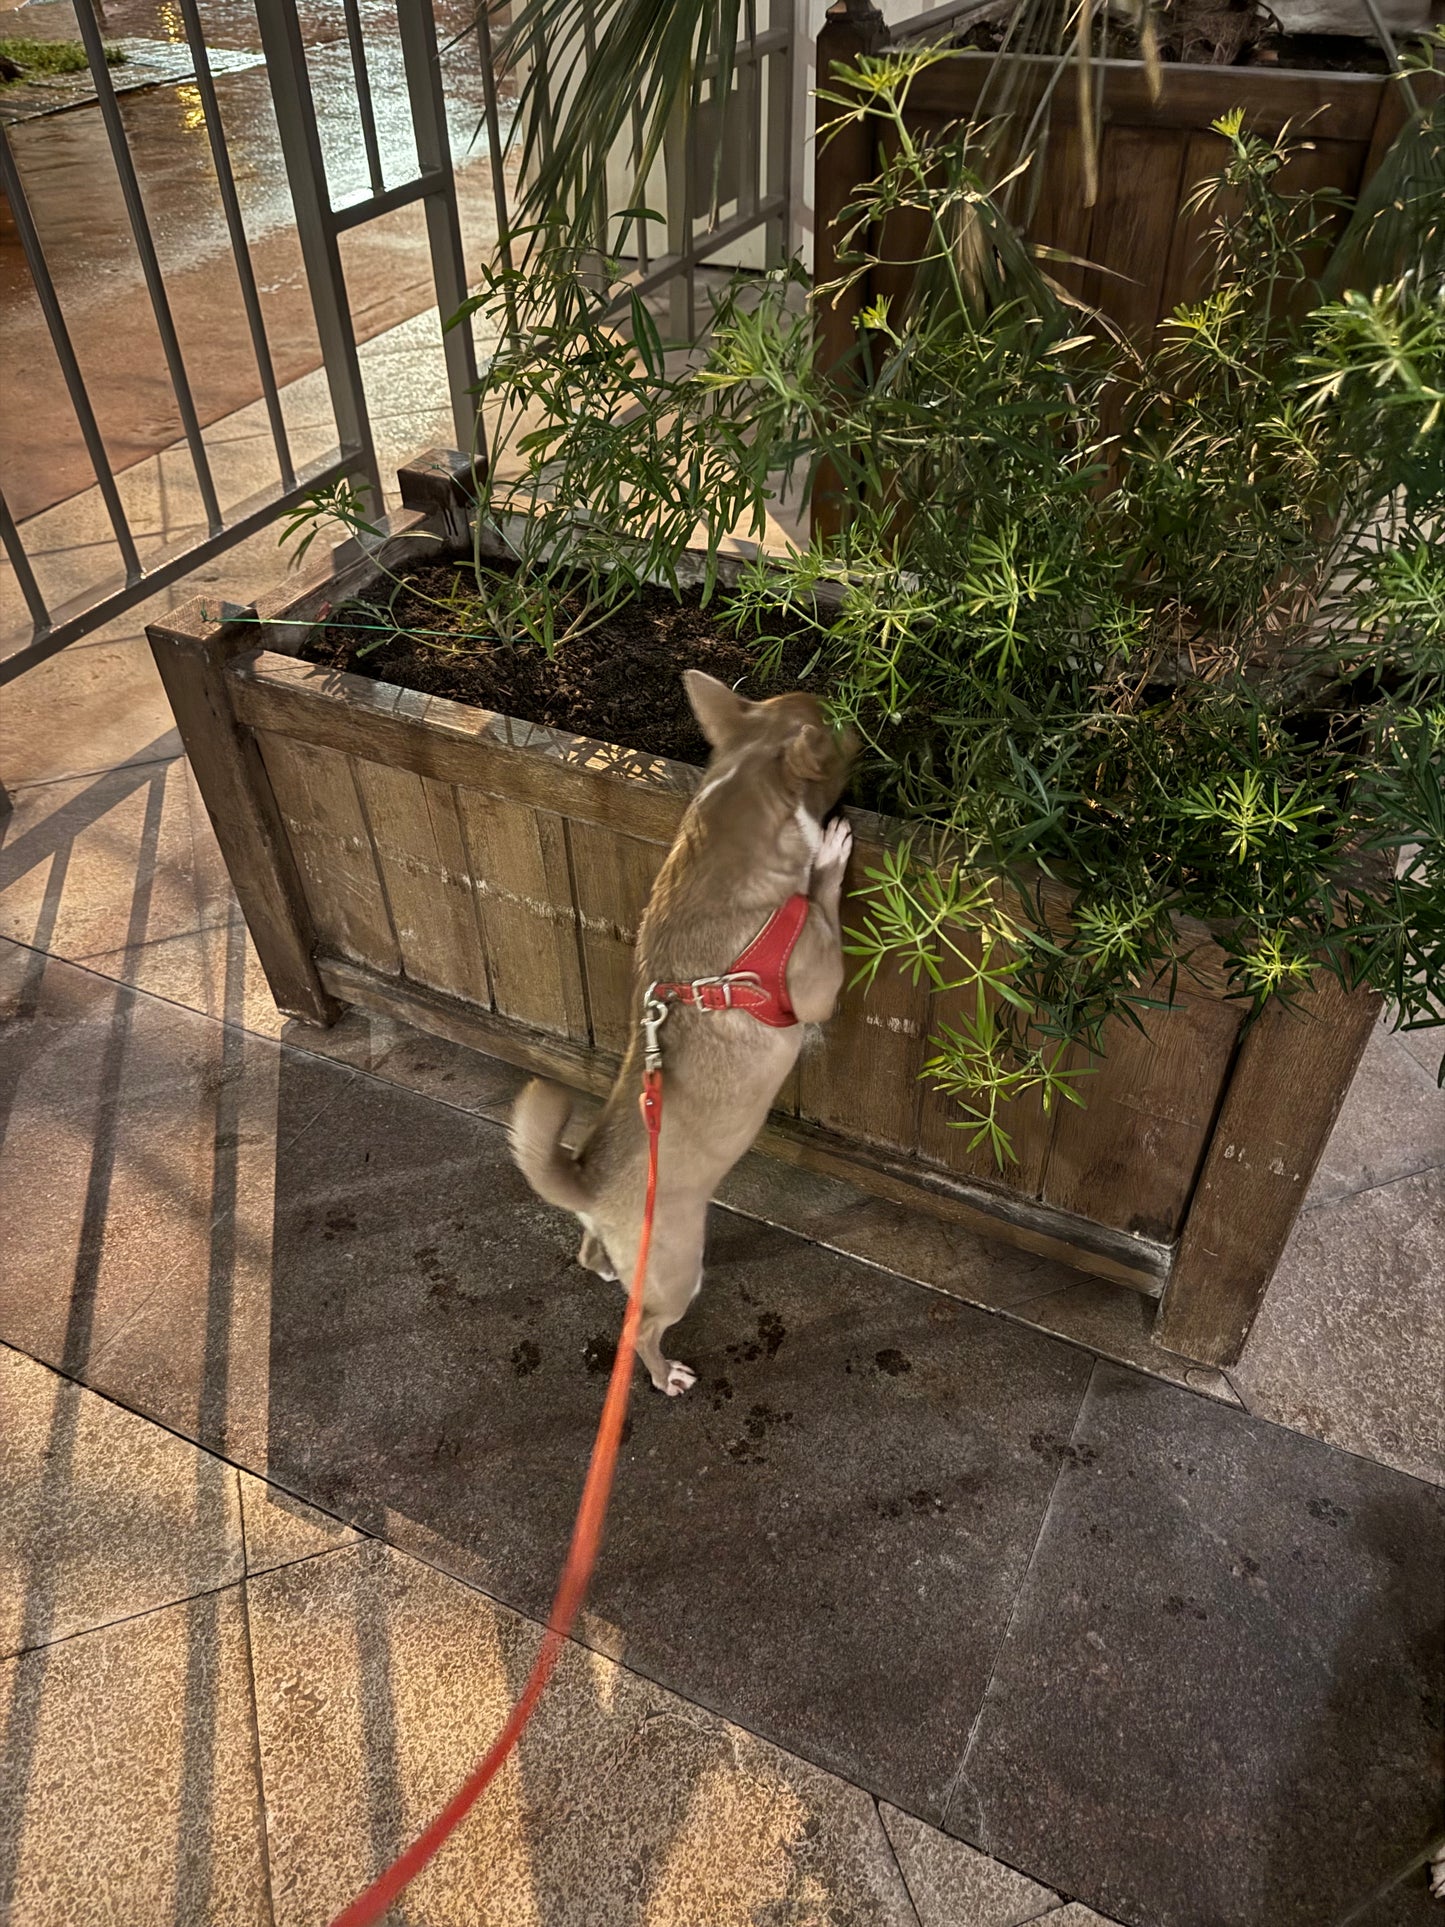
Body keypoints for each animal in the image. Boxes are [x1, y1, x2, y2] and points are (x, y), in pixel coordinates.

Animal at [508, 670, 855, 1395]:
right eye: (842, 731)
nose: (862, 716)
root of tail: (586, 1183)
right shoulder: (818, 982)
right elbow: (821, 897)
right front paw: (829, 854)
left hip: (621, 1247)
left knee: (591, 1256)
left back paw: (603, 1267)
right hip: (678, 1270)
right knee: (641, 1329)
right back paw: (664, 1373)